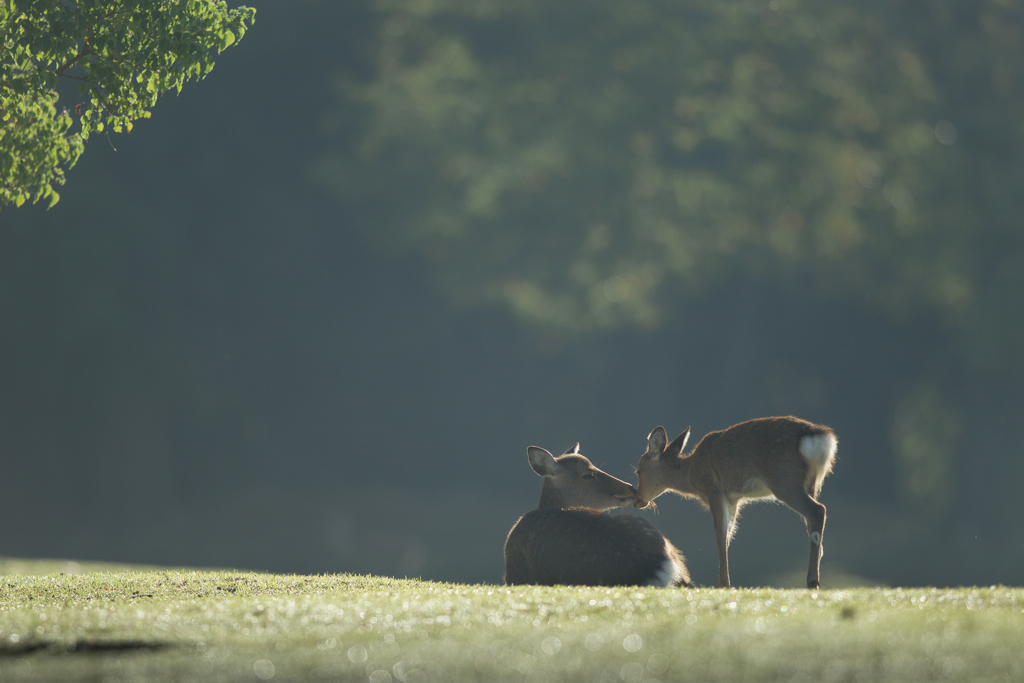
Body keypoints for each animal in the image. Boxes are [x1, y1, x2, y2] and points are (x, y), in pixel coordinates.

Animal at [630, 413, 839, 589]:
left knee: (818, 510)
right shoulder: (734, 498)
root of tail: (820, 439)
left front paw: (723, 584)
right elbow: (729, 534)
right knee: (812, 521)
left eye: (639, 470)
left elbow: (720, 535)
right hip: (811, 483)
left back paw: (812, 581)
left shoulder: (714, 489)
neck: (691, 476)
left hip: (784, 479)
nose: (638, 500)